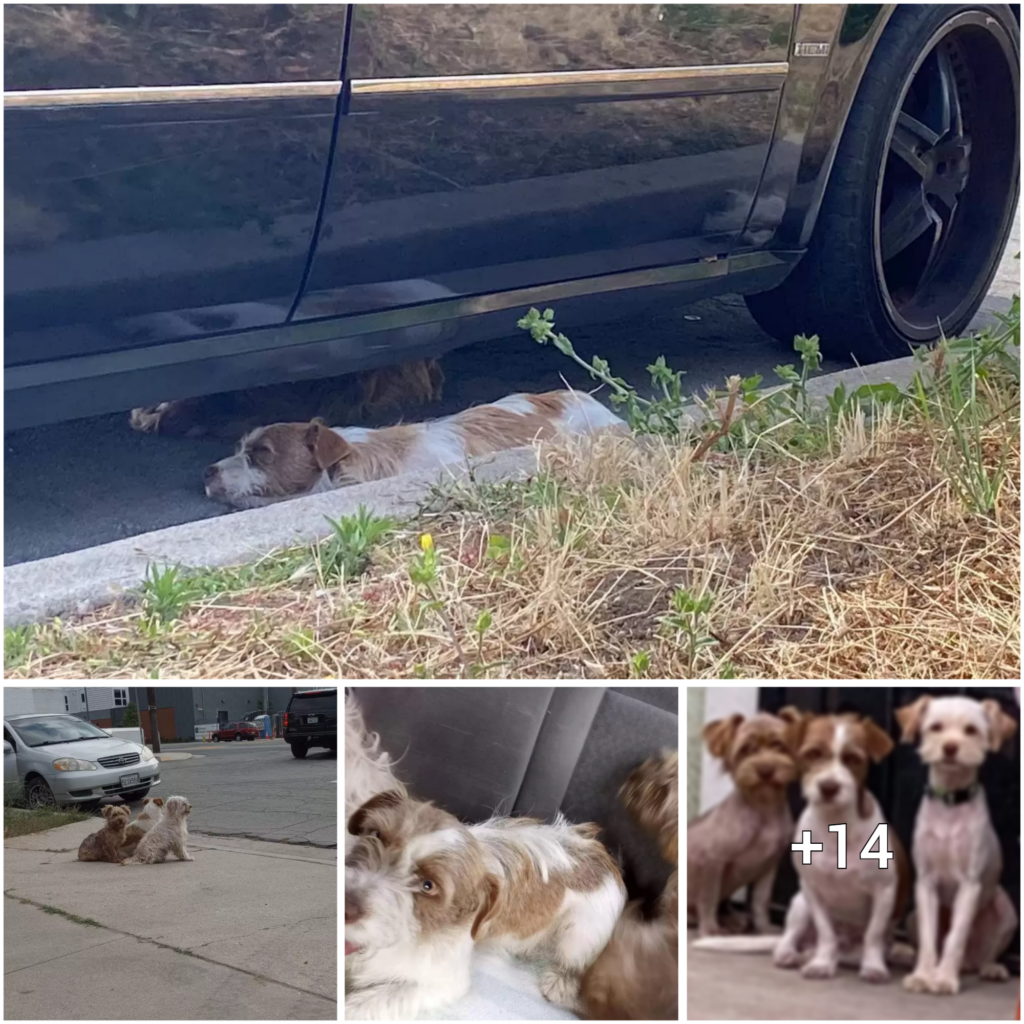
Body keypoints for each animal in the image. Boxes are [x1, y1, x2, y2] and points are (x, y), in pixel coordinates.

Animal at [346, 786, 622, 1019]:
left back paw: (560, 981)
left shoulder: (443, 983)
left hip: (580, 933)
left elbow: (376, 1000)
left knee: (578, 962)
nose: (347, 907)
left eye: (428, 886)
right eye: (376, 835)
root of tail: (601, 852)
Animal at [684, 708, 802, 933]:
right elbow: (709, 897)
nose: (765, 770)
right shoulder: (713, 860)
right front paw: (709, 929)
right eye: (747, 749)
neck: (764, 807)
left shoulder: (769, 867)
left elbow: (760, 901)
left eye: (779, 745)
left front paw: (764, 928)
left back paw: (733, 920)